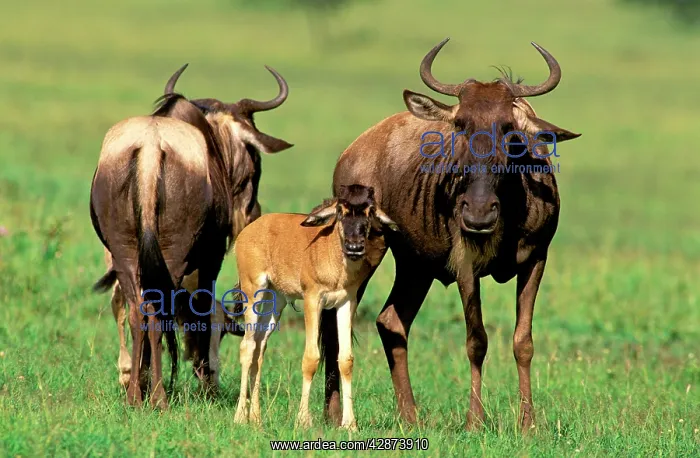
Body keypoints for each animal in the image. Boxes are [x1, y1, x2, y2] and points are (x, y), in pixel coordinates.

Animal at [90, 64, 293, 408]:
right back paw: (158, 396)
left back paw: (136, 395)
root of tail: (150, 147)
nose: (253, 212)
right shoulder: (211, 258)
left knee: (137, 312)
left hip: (125, 254)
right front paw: (206, 380)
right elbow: (202, 308)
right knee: (155, 312)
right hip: (171, 256)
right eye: (255, 157)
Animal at [327, 38, 581, 431]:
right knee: (334, 323)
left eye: (508, 127)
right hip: (362, 252)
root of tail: (352, 152)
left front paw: (528, 425)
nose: (477, 214)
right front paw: (475, 421)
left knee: (391, 322)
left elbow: (523, 341)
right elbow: (477, 340)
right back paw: (331, 415)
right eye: (460, 124)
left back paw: (410, 417)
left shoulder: (537, 259)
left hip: (414, 266)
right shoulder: (465, 265)